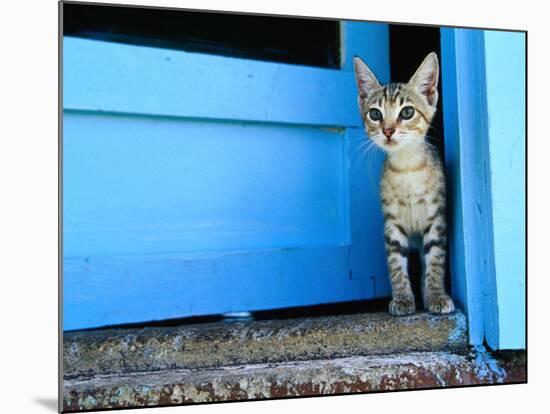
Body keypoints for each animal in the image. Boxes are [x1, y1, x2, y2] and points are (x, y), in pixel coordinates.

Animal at [354, 53, 458, 316]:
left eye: (407, 112)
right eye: (375, 114)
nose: (388, 130)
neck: (407, 168)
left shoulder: (436, 219)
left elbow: (435, 260)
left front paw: (436, 295)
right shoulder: (392, 223)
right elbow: (395, 263)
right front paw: (402, 298)